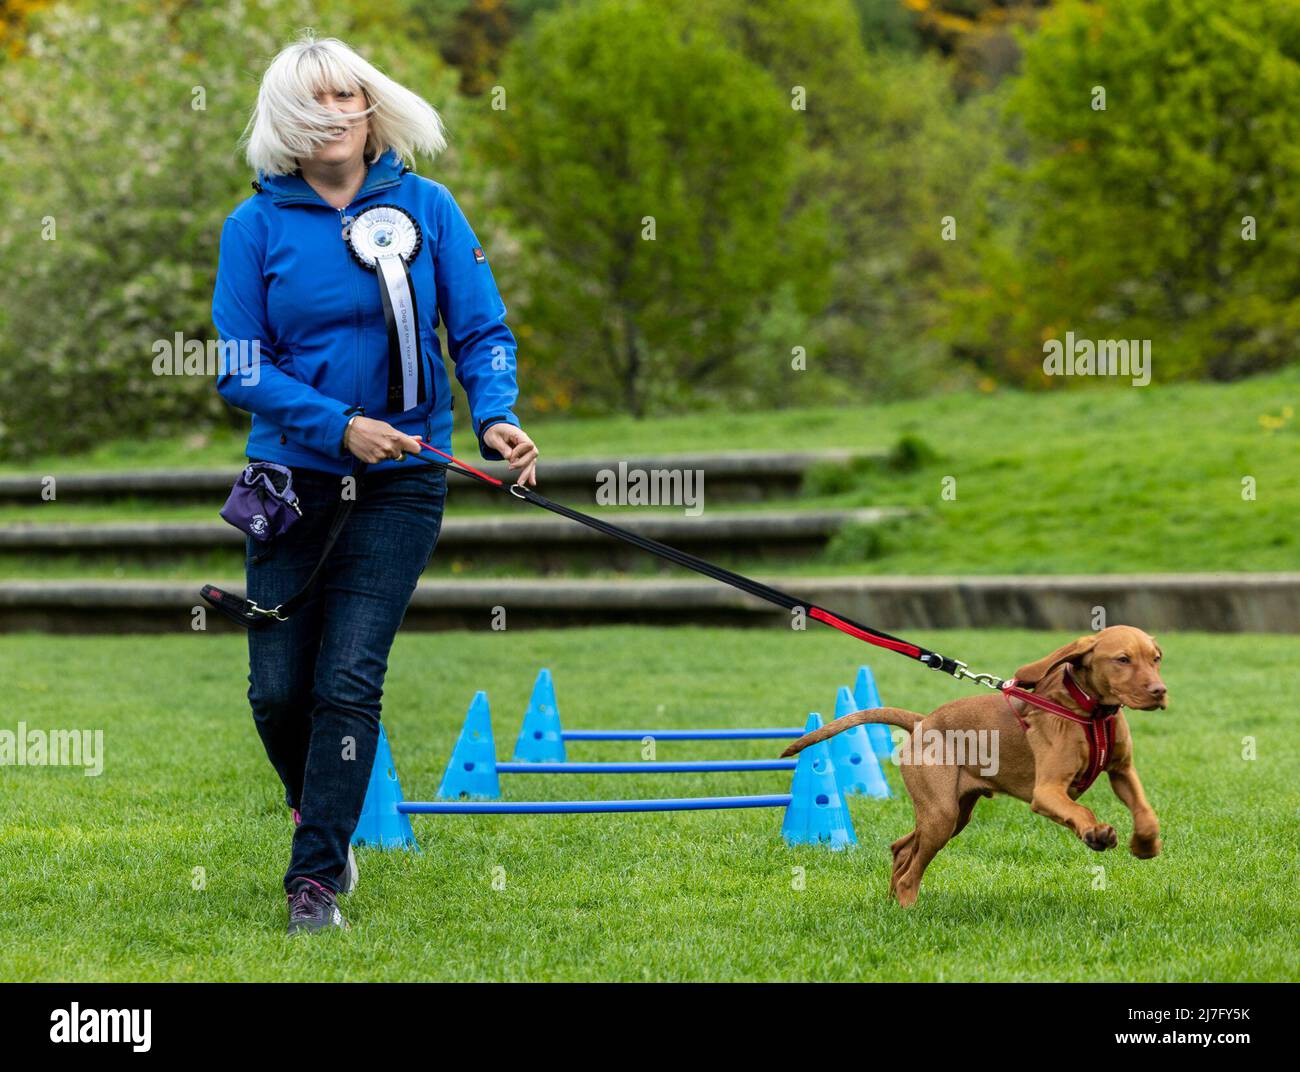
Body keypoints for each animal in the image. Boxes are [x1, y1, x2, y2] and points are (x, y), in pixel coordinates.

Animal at [780, 623, 1170, 909]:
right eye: (1122, 659)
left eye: (1156, 658)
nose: (1159, 691)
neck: (1091, 713)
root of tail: (921, 721)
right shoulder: (1047, 792)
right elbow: (1081, 811)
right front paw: (1095, 833)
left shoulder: (1122, 771)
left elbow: (1146, 811)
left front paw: (1145, 845)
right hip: (942, 814)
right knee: (910, 871)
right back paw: (907, 910)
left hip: (953, 814)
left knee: (902, 849)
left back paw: (891, 903)